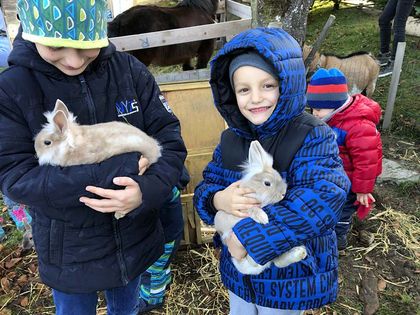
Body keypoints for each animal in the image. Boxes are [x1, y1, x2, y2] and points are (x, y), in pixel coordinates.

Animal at [215, 142, 306, 276]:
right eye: (267, 183)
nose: (283, 194)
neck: (254, 190)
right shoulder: (242, 208)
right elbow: (253, 209)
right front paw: (263, 218)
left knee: (276, 261)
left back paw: (300, 252)